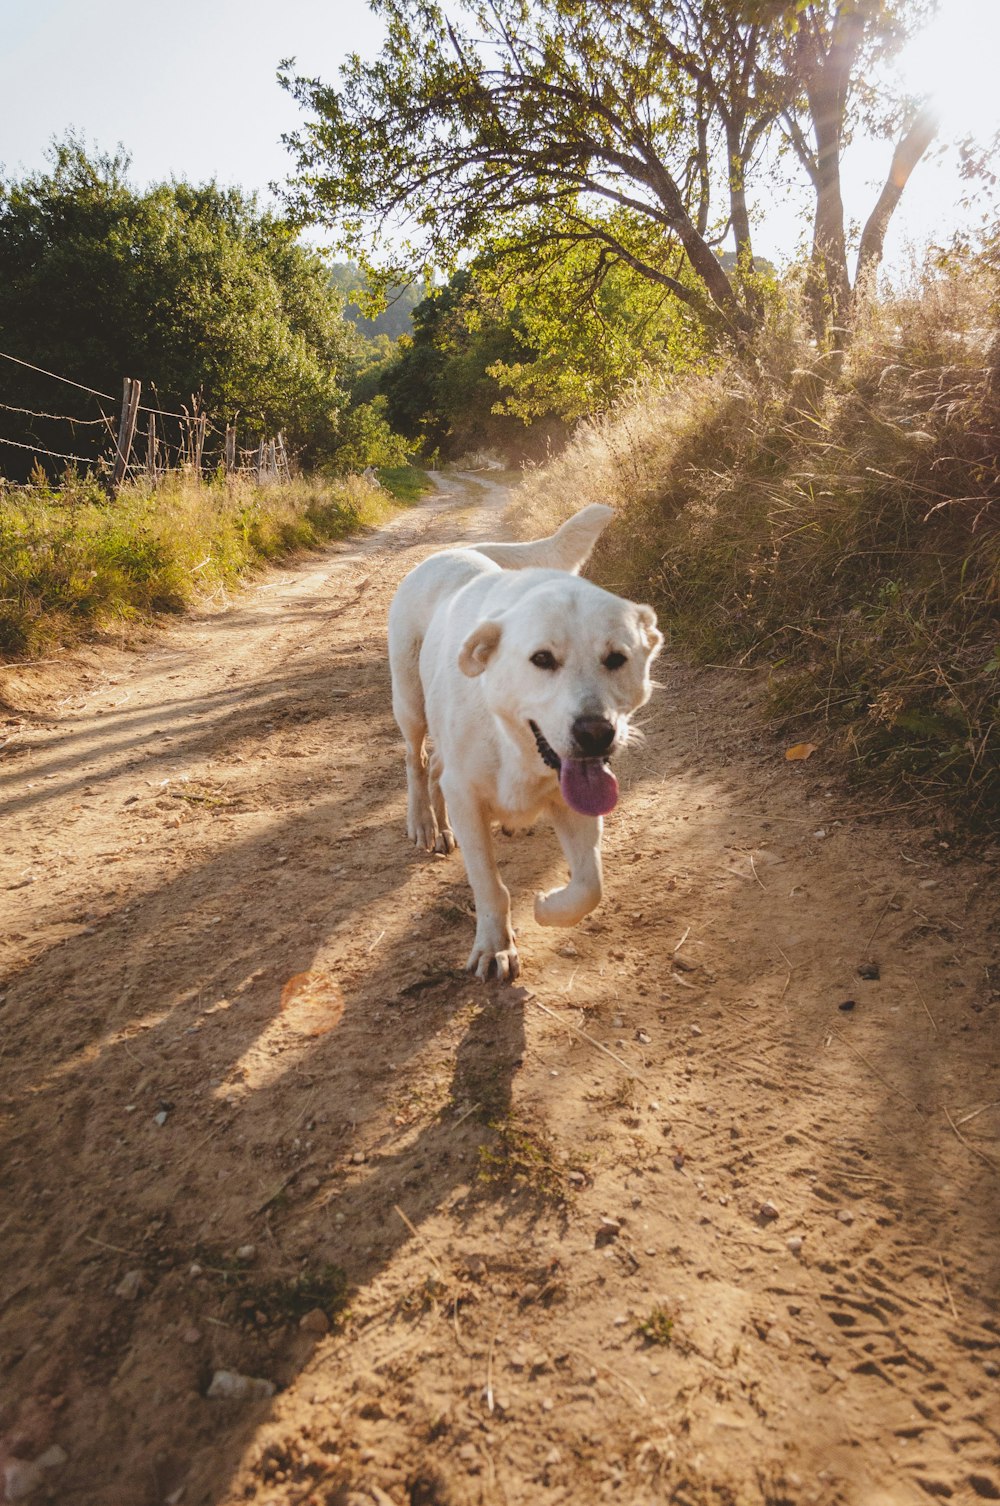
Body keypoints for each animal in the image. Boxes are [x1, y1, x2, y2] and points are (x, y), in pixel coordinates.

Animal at [385, 499, 659, 981]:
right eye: (542, 659)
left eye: (616, 658)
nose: (596, 733)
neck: (514, 746)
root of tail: (455, 551)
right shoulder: (469, 798)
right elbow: (489, 885)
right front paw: (495, 946)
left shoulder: (575, 800)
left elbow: (590, 886)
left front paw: (548, 908)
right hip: (410, 703)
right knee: (416, 762)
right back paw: (424, 822)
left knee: (436, 767)